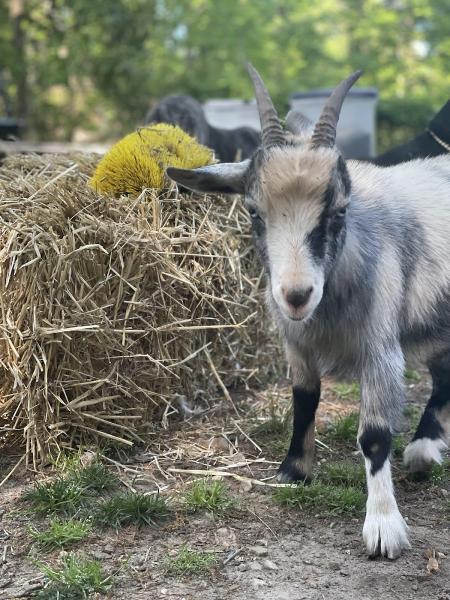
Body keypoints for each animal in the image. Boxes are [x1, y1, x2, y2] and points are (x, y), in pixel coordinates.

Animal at [166, 65, 450, 556]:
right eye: (253, 211)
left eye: (339, 211)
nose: (296, 295)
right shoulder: (296, 344)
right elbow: (303, 401)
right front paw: (293, 470)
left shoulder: (380, 349)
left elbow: (374, 436)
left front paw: (383, 525)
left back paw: (423, 448)